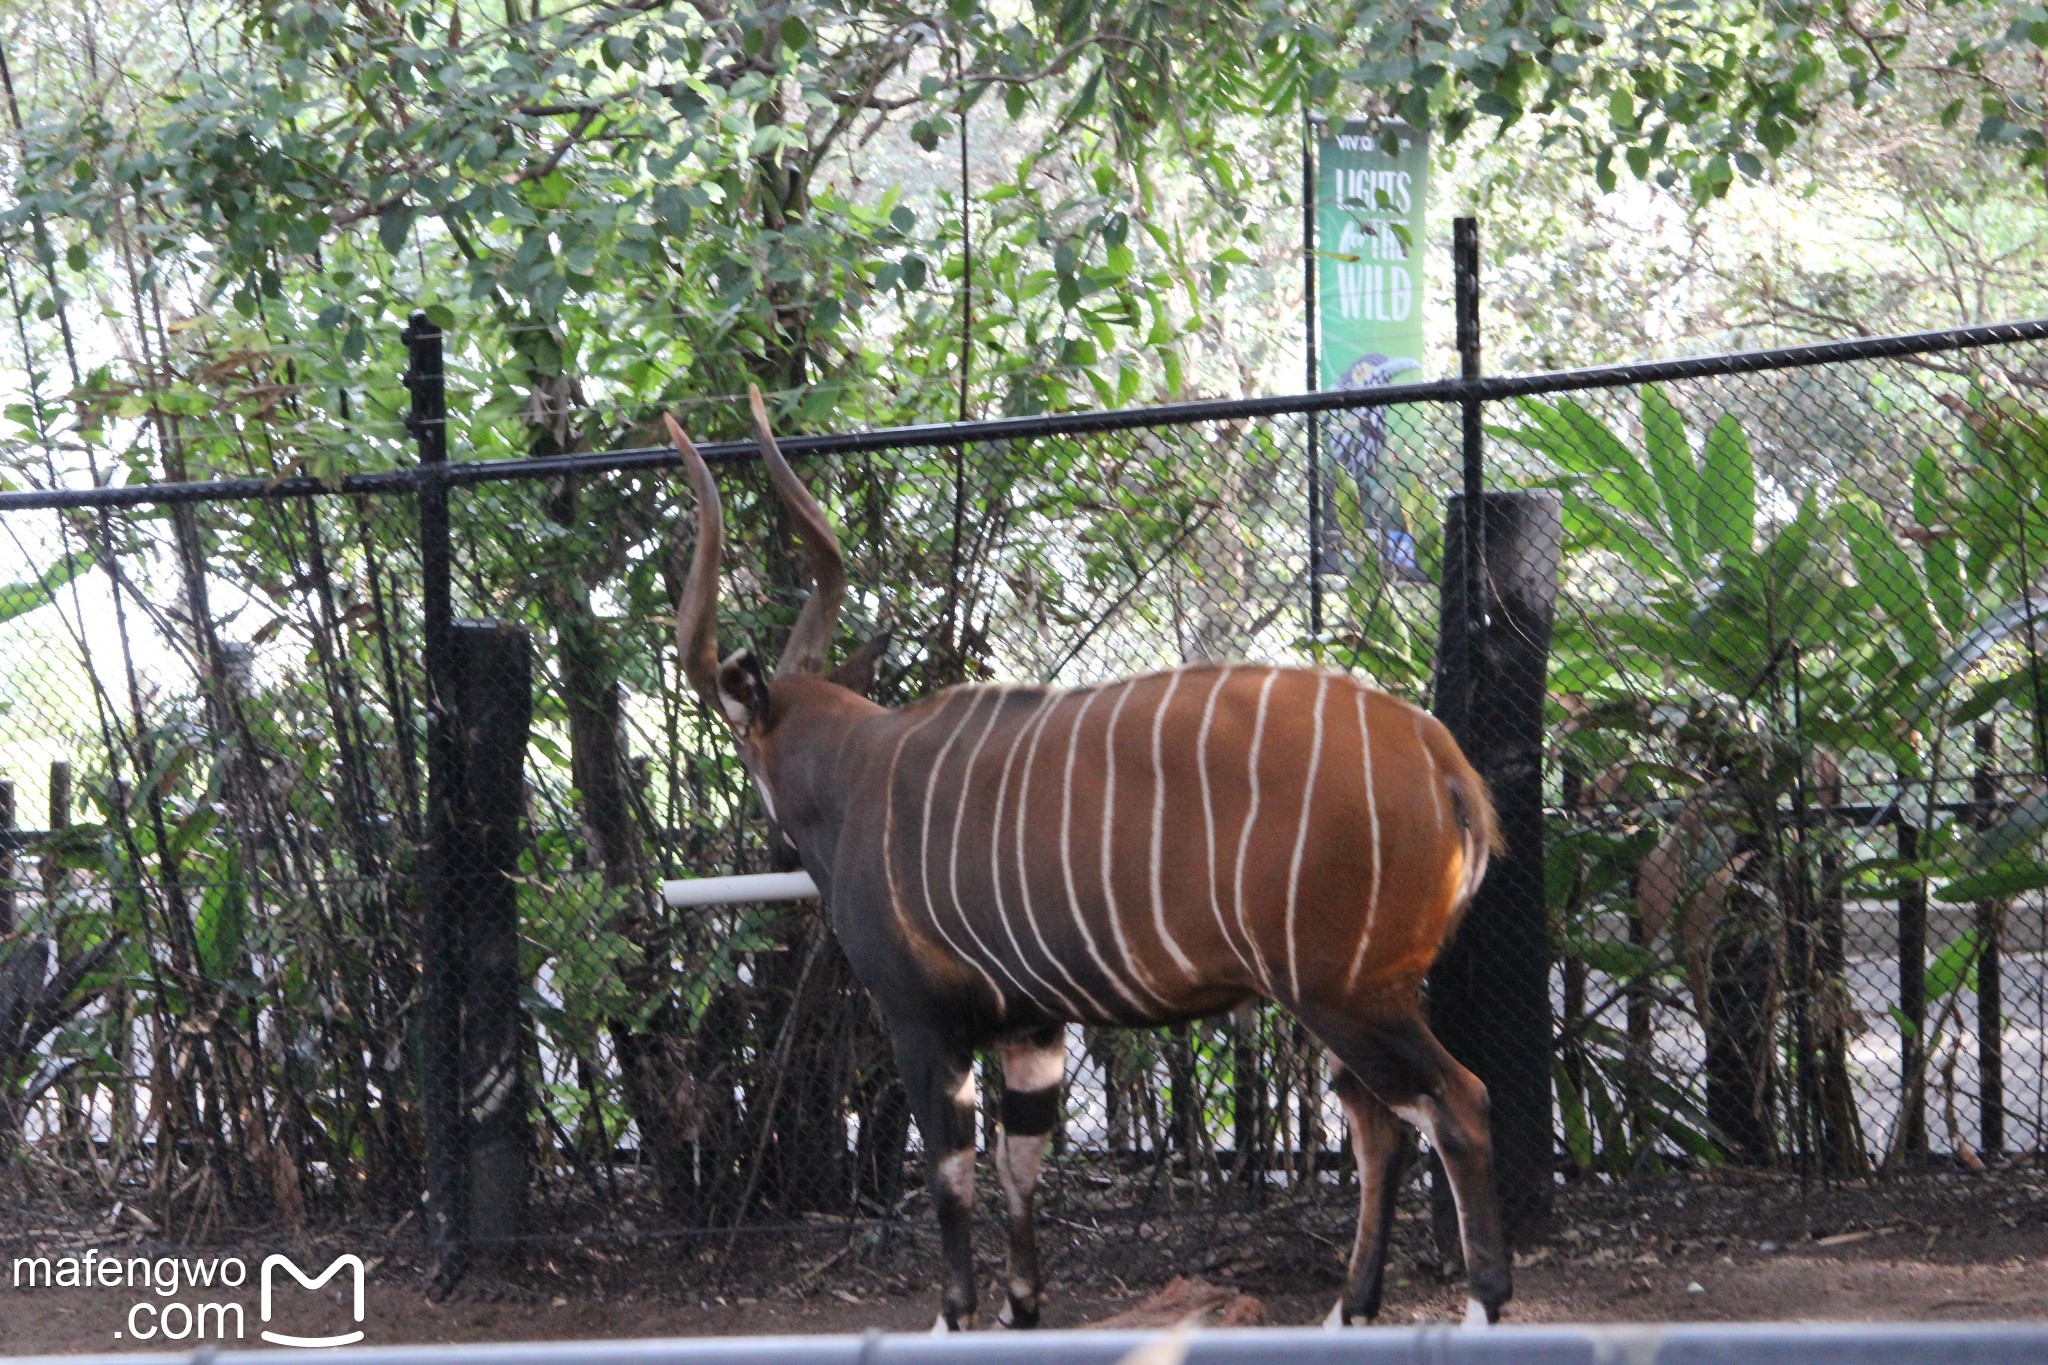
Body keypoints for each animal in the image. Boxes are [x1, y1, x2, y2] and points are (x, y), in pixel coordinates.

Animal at [663, 388, 1515, 1326]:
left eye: (742, 742)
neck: (858, 768)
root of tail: (1441, 759)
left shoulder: (923, 1023)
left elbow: (952, 1178)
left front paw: (957, 1312)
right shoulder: (1033, 1025)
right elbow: (1019, 1164)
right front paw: (1021, 1304)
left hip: (1347, 995)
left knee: (1455, 1103)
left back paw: (1477, 1304)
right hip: (1349, 1000)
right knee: (1381, 1126)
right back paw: (1346, 1309)